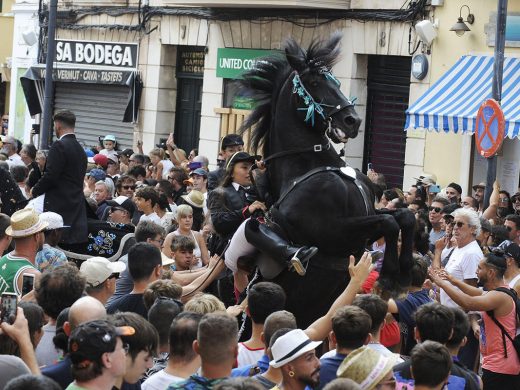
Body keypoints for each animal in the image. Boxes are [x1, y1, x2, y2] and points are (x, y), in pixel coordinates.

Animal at [239, 33, 414, 328]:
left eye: (336, 81)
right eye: (313, 82)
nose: (352, 120)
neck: (315, 164)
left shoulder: (365, 224)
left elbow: (404, 217)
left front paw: (406, 270)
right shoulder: (332, 230)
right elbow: (390, 223)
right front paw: (391, 275)